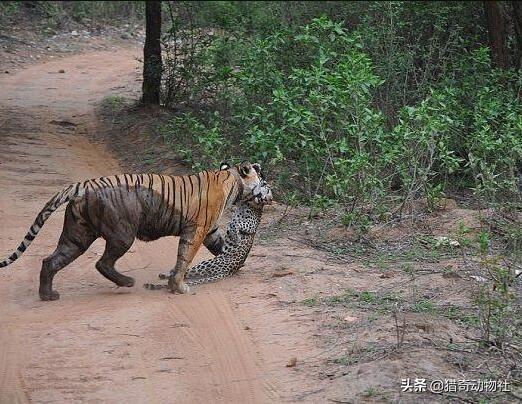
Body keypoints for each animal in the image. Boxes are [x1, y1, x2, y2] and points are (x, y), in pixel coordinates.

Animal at [0, 161, 266, 300]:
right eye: (262, 178)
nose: (268, 188)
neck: (233, 181)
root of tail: (83, 185)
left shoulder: (210, 230)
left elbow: (220, 247)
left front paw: (234, 262)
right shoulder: (197, 230)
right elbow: (184, 259)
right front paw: (178, 287)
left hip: (77, 236)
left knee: (50, 260)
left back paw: (48, 295)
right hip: (122, 234)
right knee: (102, 263)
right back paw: (127, 282)